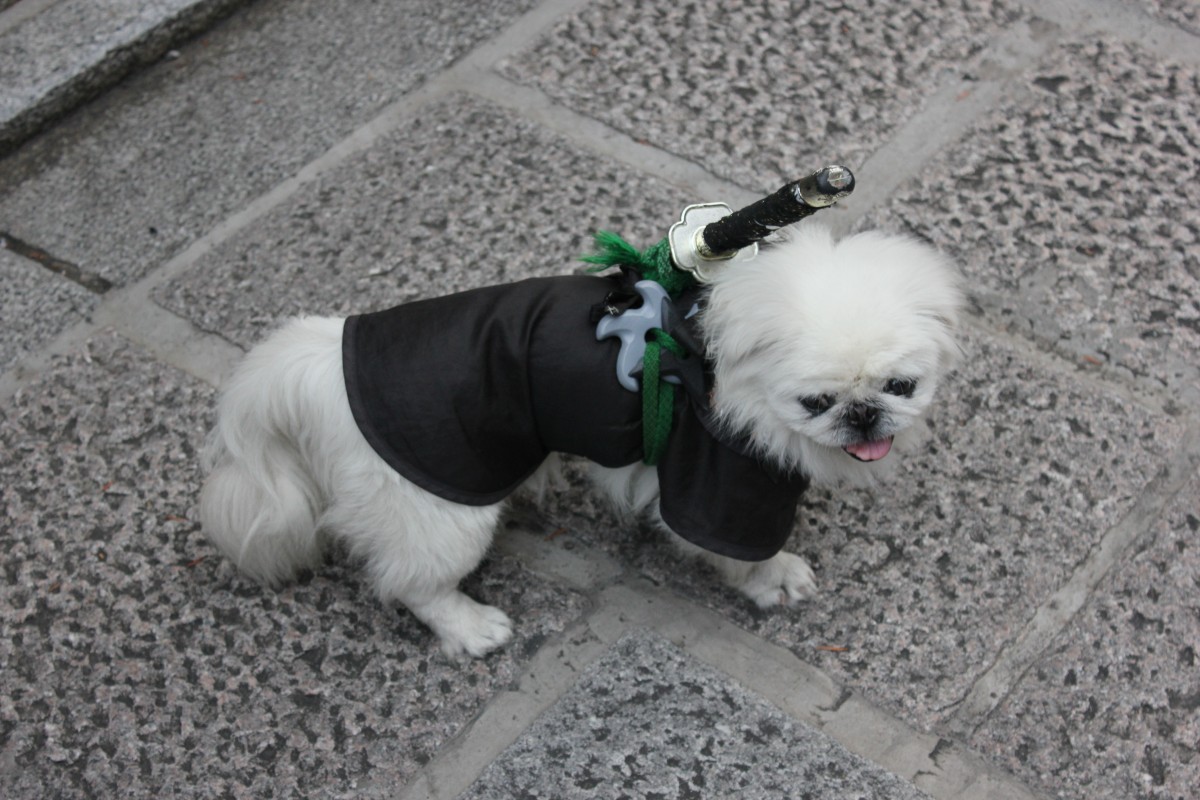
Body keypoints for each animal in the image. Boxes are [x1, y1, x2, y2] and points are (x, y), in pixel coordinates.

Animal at [201, 224, 960, 657]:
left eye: (901, 386)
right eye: (818, 403)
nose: (864, 416)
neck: (710, 361)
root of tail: (319, 365)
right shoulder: (716, 485)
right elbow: (742, 555)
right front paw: (774, 581)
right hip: (443, 505)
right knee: (412, 583)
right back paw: (471, 629)